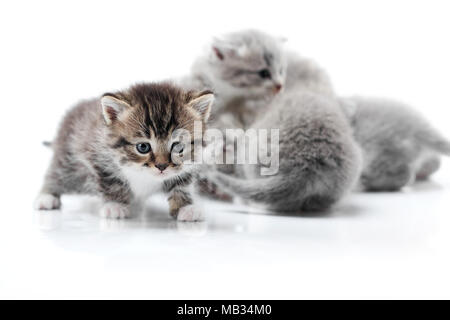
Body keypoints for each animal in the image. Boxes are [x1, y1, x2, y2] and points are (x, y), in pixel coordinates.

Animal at [34, 83, 214, 220]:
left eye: (178, 146)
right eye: (143, 147)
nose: (161, 166)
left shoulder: (186, 167)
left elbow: (181, 184)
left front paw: (186, 207)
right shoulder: (98, 158)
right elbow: (112, 183)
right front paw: (116, 205)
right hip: (68, 157)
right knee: (57, 174)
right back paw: (46, 197)